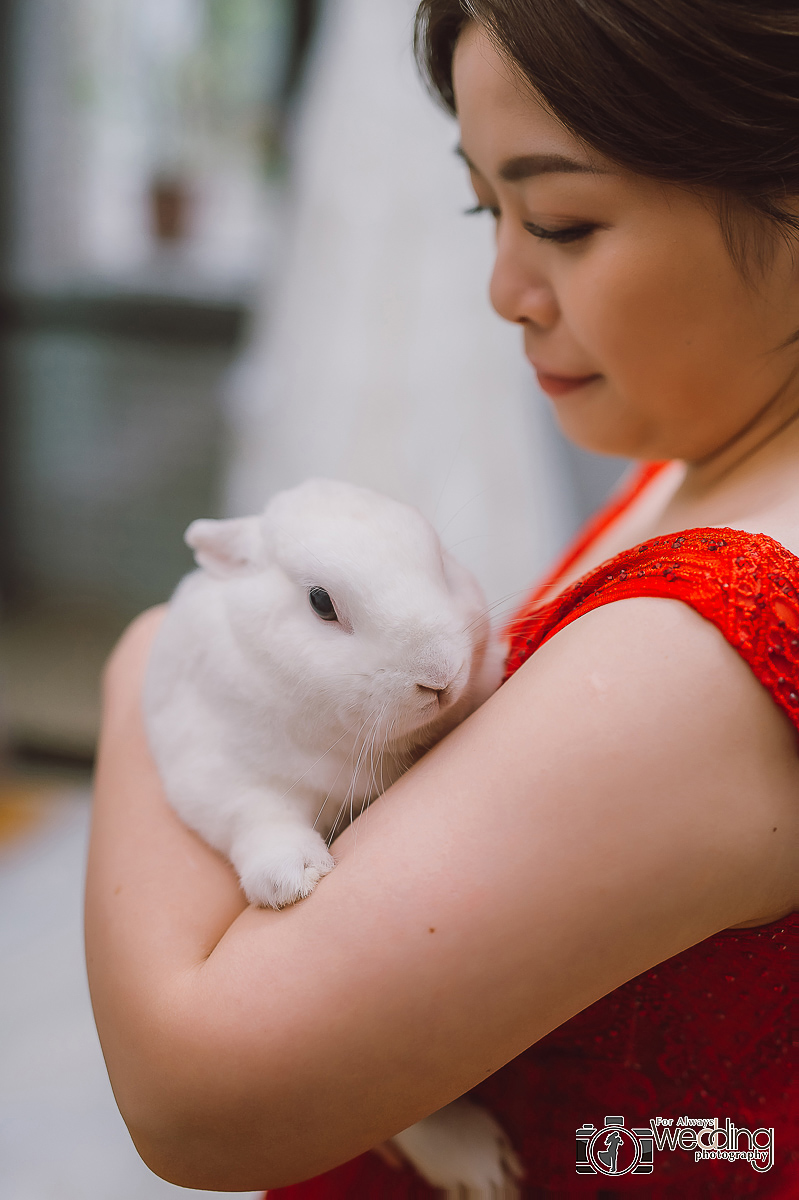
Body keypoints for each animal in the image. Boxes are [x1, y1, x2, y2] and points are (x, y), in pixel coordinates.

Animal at [143, 475, 520, 1190]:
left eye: (439, 559)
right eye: (321, 602)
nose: (440, 676)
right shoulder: (218, 776)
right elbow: (259, 820)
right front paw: (291, 882)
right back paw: (478, 1168)